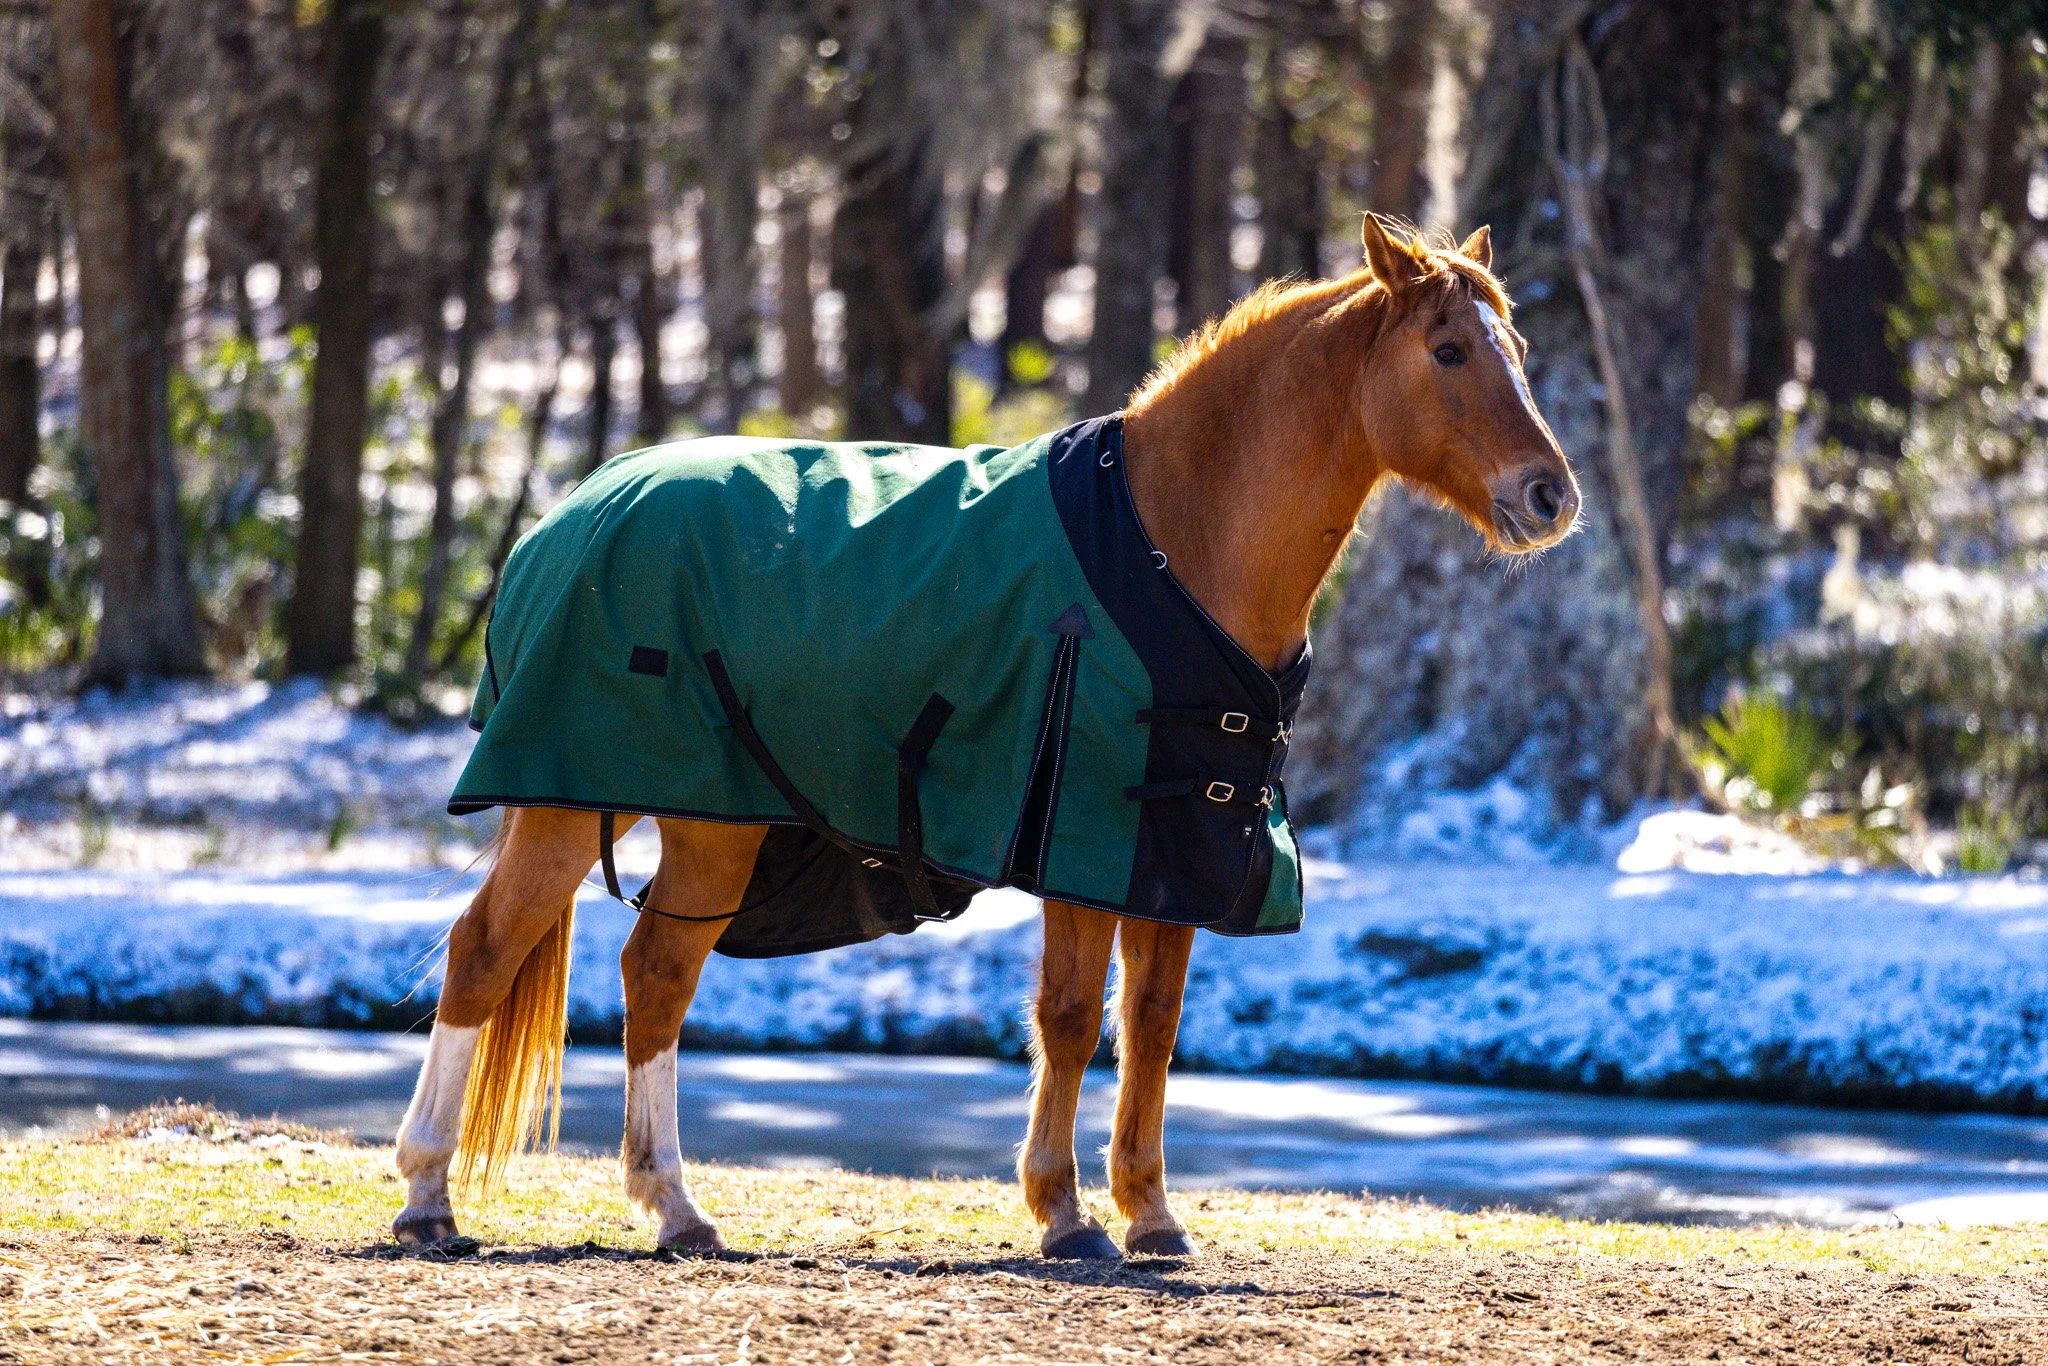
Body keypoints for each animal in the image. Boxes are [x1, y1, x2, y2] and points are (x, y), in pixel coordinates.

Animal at [390, 214, 1579, 1259]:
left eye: (1518, 349)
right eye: (1447, 349)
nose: (1550, 497)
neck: (1173, 537)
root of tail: (566, 512)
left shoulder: (1173, 851)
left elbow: (1152, 1023)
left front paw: (1150, 1213)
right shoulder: (1085, 845)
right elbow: (1070, 1017)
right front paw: (1064, 1213)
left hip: (712, 817)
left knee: (657, 973)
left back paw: (675, 1208)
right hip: (574, 797)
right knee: (487, 951)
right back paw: (428, 1196)